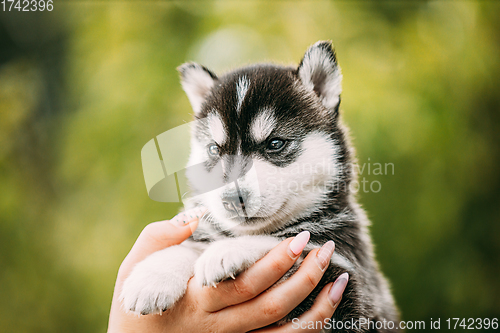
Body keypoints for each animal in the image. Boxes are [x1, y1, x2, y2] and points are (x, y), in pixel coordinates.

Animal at [121, 40, 398, 330]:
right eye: (213, 149)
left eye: (275, 143)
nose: (233, 200)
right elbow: (192, 244)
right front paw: (152, 275)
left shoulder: (347, 276)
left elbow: (286, 240)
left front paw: (227, 250)